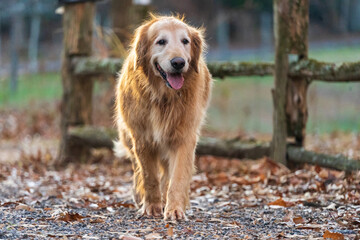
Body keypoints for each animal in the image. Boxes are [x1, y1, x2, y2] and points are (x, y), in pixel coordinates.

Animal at [114, 15, 211, 220]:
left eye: (185, 41)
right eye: (161, 42)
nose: (178, 62)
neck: (164, 97)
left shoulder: (184, 138)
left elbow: (178, 178)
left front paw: (174, 208)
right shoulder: (142, 138)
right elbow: (149, 176)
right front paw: (151, 206)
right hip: (128, 137)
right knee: (137, 169)